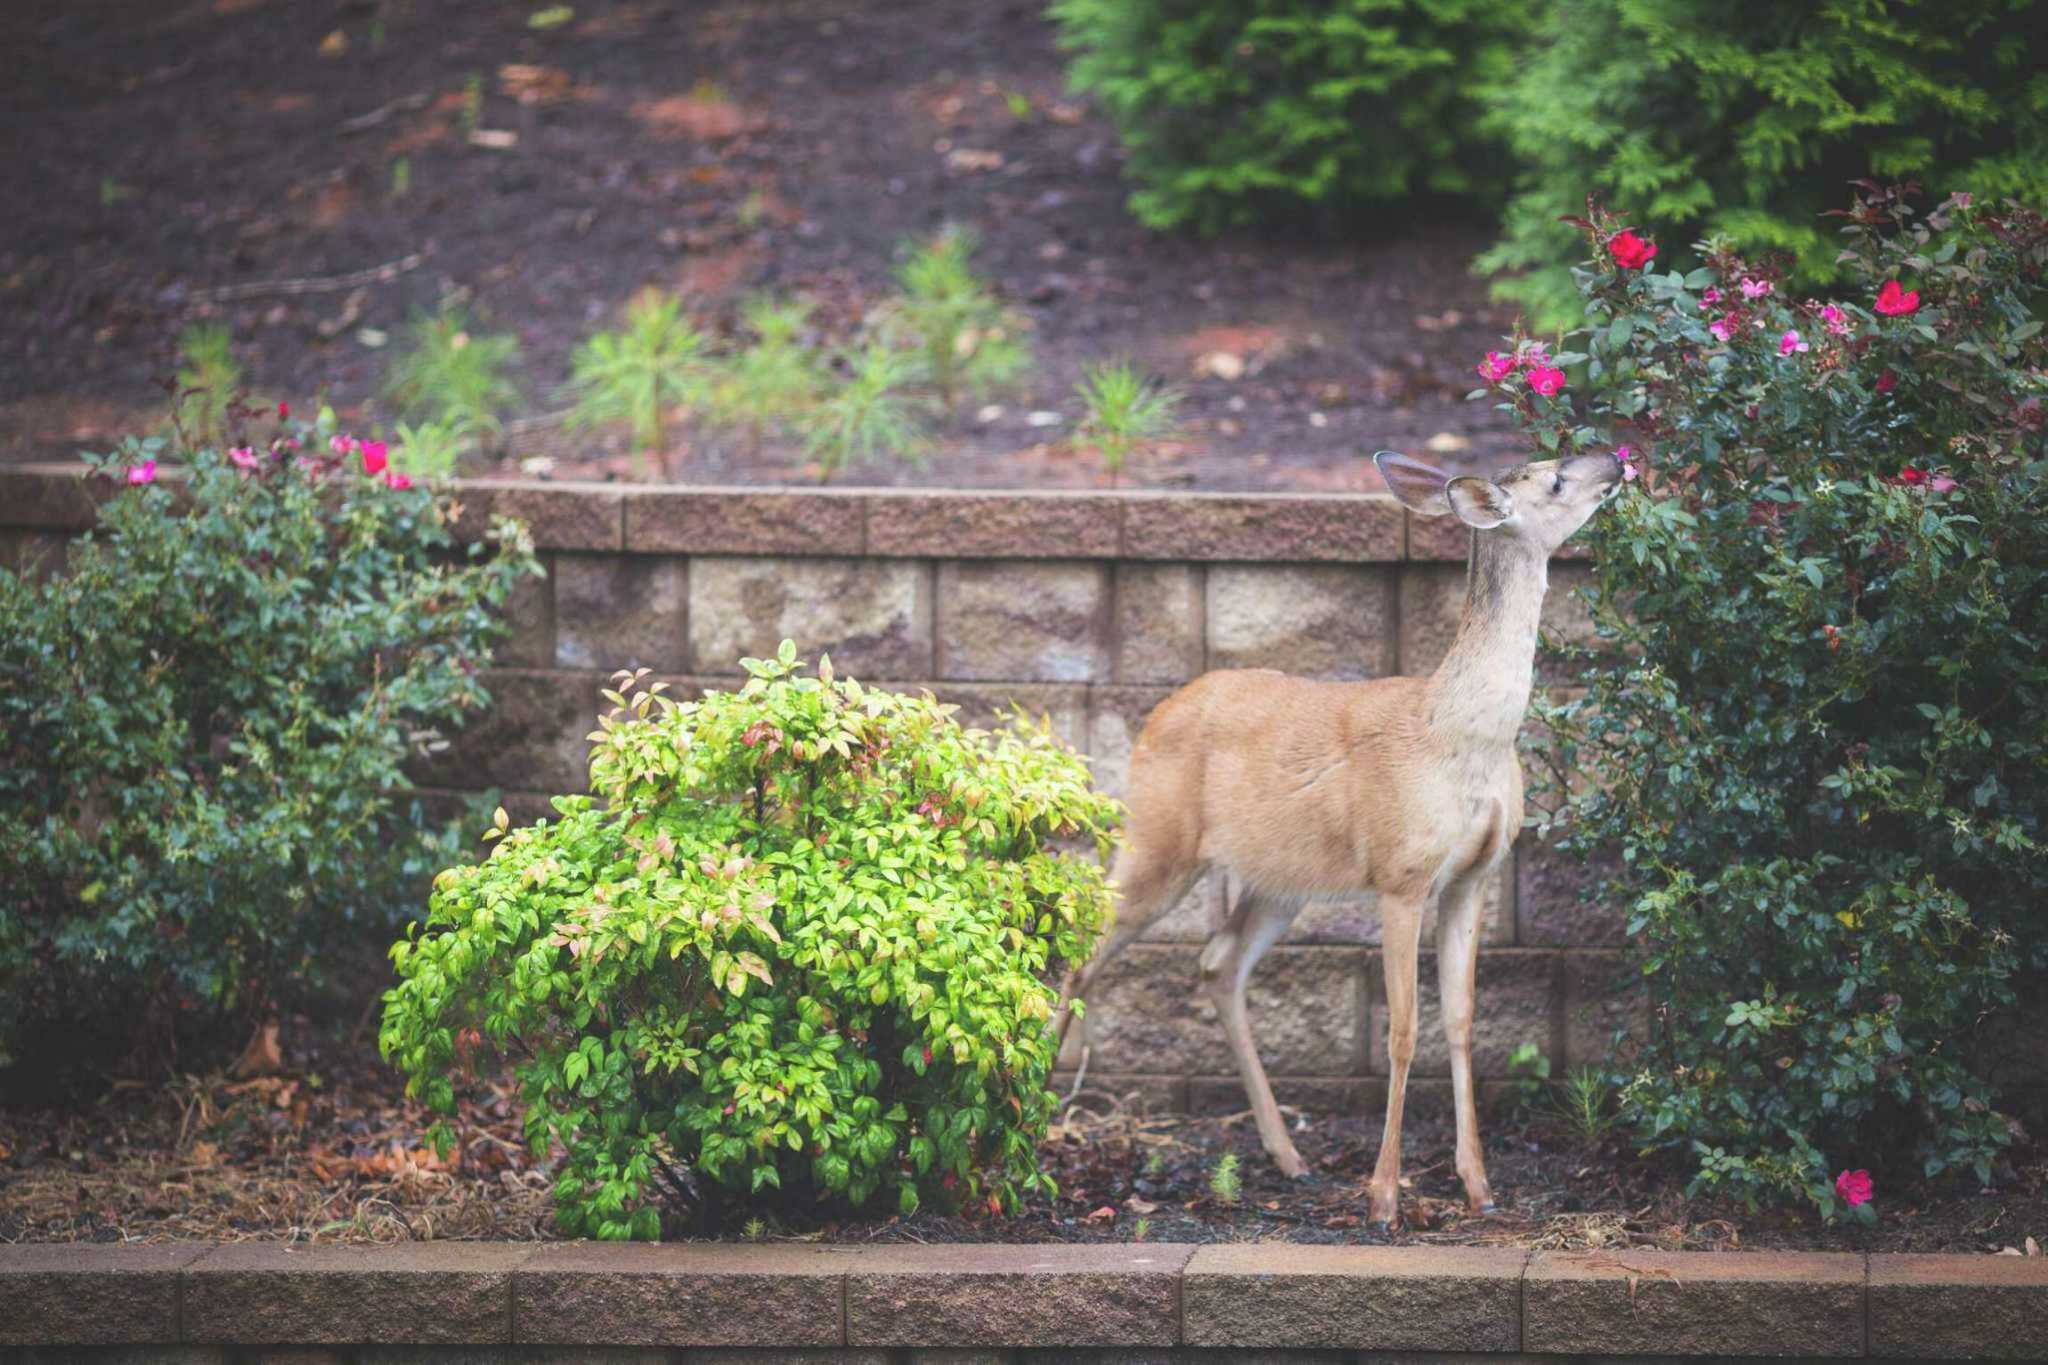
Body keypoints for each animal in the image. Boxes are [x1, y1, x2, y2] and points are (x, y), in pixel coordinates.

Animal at [1053, 448, 1623, 1227]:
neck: (1461, 738)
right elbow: (1403, 1030)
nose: (1617, 461)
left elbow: (1463, 1020)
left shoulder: (1474, 876)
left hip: (1279, 880)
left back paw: (1288, 1156)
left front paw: (1478, 1185)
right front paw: (1383, 1197)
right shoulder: (1400, 871)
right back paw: (1033, 1114)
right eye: (1554, 477)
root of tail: (1153, 717)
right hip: (1157, 835)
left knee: (1219, 963)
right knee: (1083, 947)